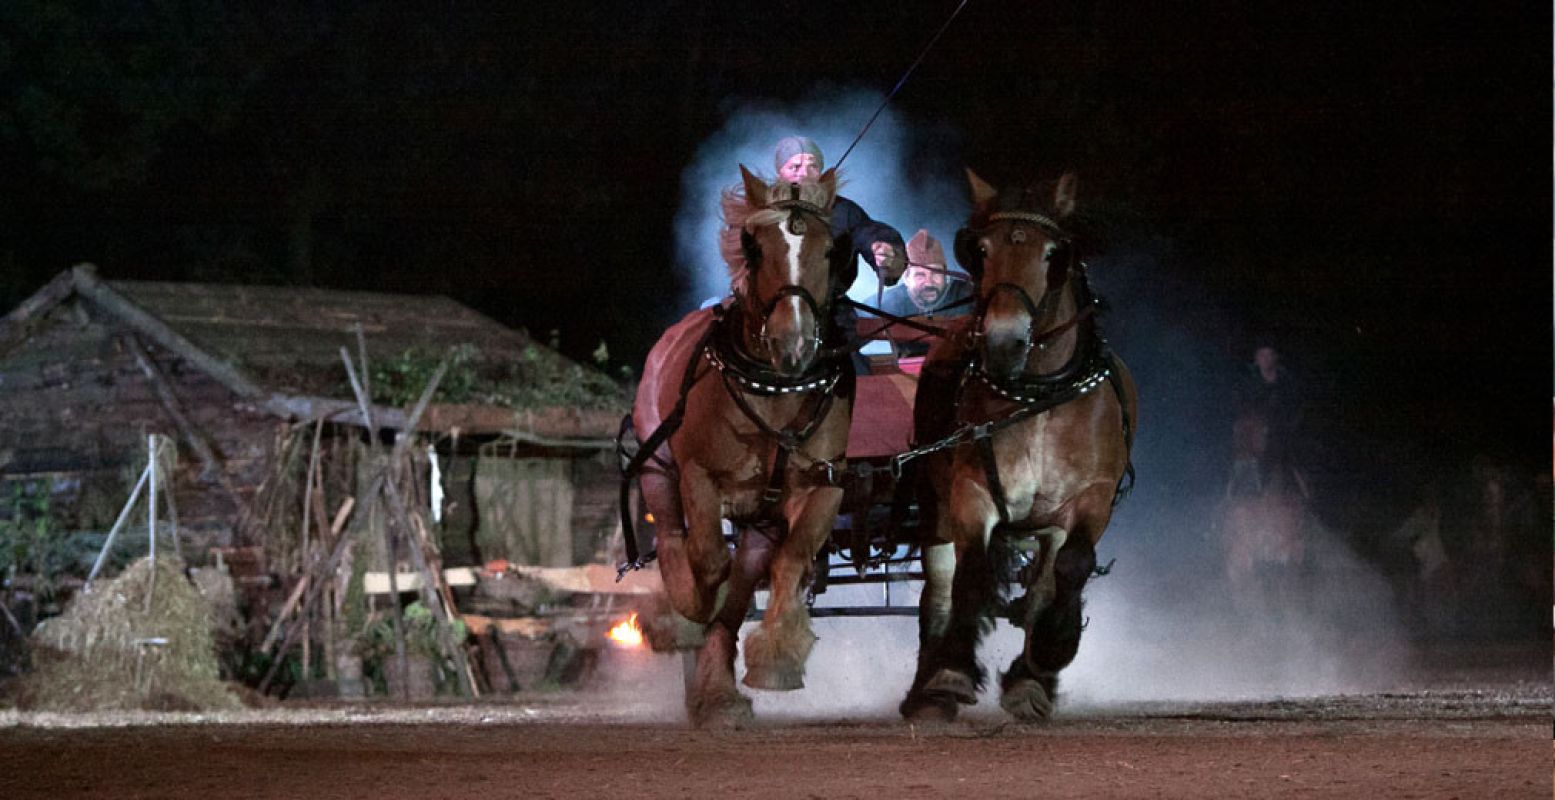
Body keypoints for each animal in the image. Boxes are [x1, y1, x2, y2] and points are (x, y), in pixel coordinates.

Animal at [625, 164, 858, 725]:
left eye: (830, 251)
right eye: (753, 248)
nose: (793, 345)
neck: (776, 389)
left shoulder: (825, 485)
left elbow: (790, 561)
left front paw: (777, 658)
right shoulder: (700, 475)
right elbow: (708, 559)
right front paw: (688, 612)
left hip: (762, 513)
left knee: (747, 574)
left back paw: (718, 687)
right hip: (658, 464)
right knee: (674, 538)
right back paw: (682, 621)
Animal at [895, 169, 1138, 722]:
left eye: (1054, 254)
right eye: (981, 250)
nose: (1003, 341)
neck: (1038, 395)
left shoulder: (1091, 497)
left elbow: (1071, 567)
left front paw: (1049, 651)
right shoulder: (972, 490)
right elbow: (970, 577)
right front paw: (952, 672)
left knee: (1047, 579)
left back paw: (1031, 678)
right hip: (935, 505)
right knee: (939, 589)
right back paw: (928, 690)